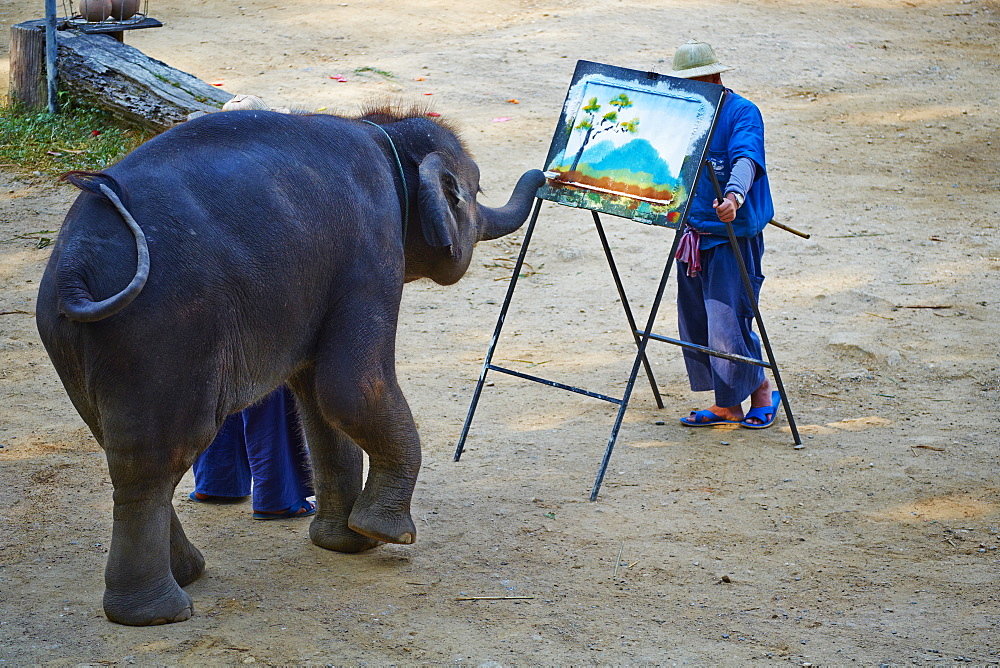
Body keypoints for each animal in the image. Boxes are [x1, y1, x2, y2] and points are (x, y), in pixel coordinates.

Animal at [37, 105, 548, 628]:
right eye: (476, 190)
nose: (546, 174)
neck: (383, 133)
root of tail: (75, 262)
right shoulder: (371, 251)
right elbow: (351, 389)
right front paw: (386, 534)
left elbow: (318, 399)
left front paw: (347, 544)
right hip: (162, 330)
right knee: (158, 455)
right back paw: (159, 613)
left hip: (75, 341)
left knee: (122, 449)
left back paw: (188, 574)